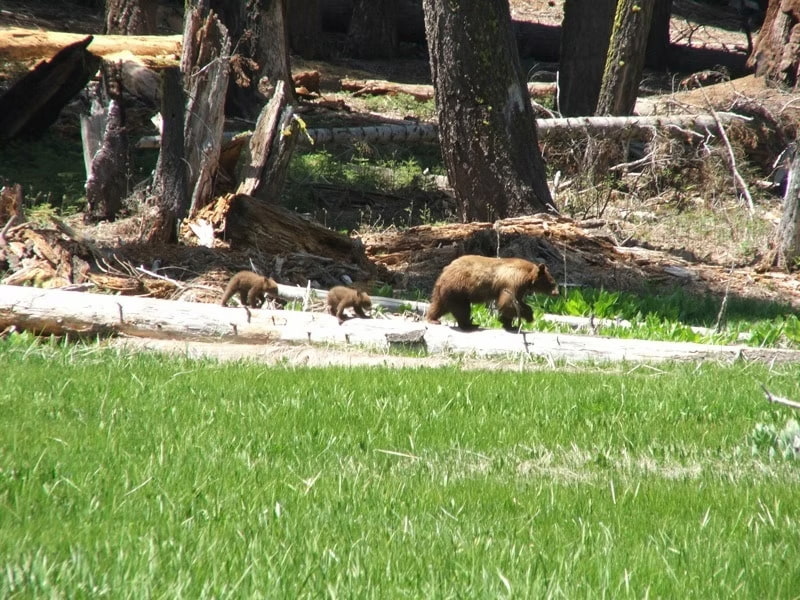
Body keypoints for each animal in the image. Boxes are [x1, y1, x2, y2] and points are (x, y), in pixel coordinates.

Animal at [426, 255, 558, 331]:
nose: (556, 293)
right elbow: (508, 302)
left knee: (439, 305)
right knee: (462, 309)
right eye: (552, 283)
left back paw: (433, 318)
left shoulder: (520, 287)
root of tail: (445, 271)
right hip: (458, 289)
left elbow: (517, 302)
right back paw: (469, 324)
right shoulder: (513, 281)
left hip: (444, 290)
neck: (528, 276)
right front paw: (526, 317)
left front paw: (509, 323)